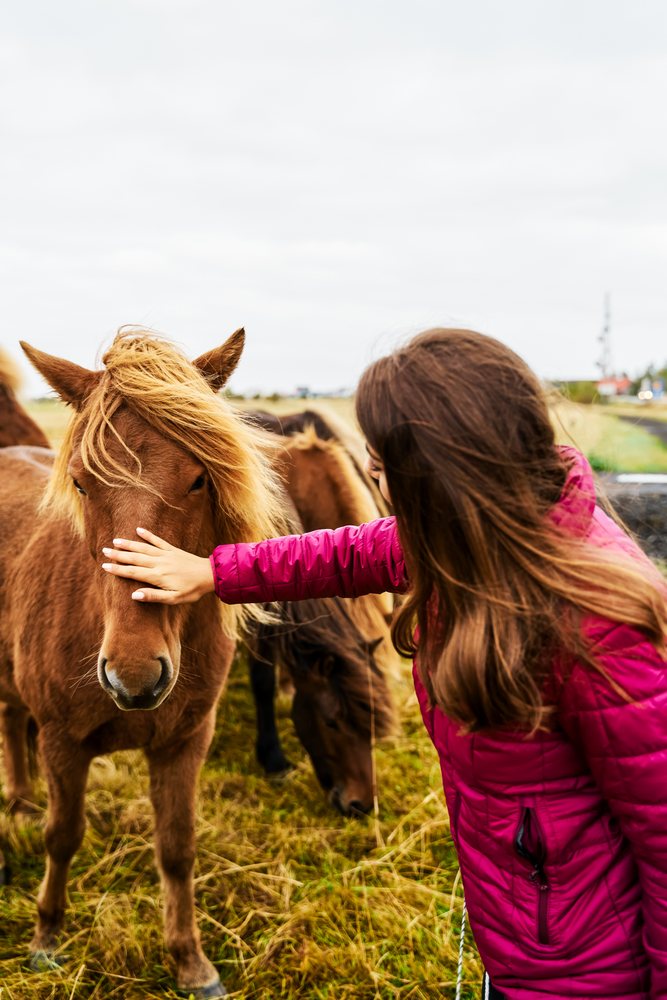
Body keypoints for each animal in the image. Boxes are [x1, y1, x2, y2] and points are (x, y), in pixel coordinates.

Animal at [0, 328, 286, 998]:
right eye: (81, 482)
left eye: (199, 478)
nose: (133, 676)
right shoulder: (62, 742)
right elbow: (63, 836)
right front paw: (46, 937)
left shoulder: (185, 743)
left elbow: (177, 848)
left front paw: (191, 961)